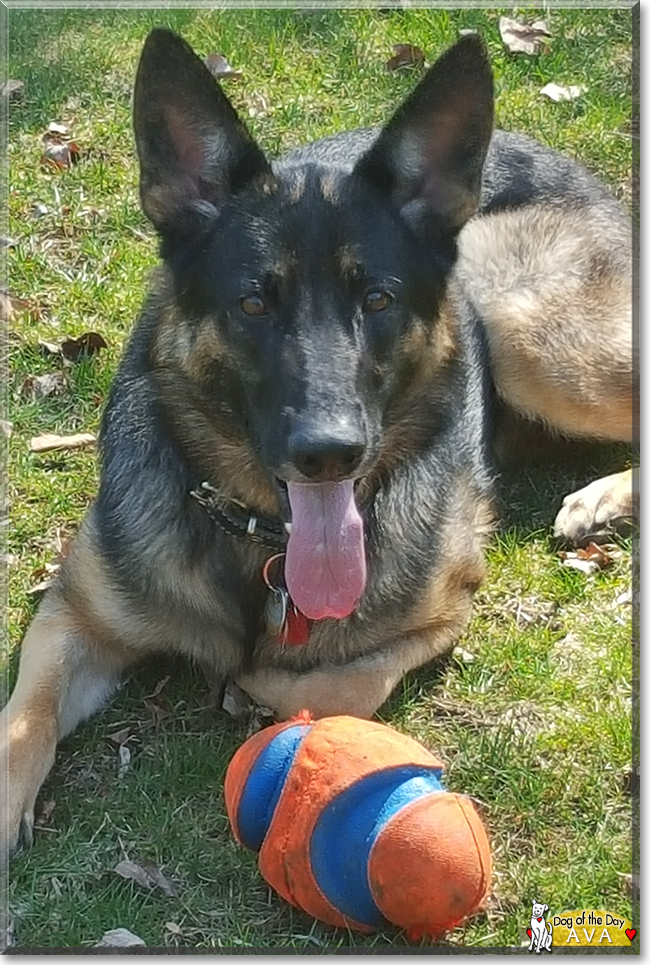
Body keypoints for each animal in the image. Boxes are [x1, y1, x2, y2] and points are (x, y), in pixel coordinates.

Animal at [0, 30, 632, 864]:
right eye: (253, 302)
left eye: (378, 299)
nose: (330, 452)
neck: (262, 547)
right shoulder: (73, 612)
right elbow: (22, 720)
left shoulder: (444, 609)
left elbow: (337, 685)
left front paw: (258, 688)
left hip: (522, 320)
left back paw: (602, 496)